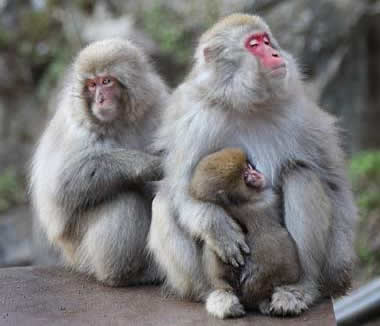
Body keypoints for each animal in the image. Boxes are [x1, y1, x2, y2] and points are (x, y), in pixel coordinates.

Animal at [31, 39, 168, 286]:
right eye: (92, 85)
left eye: (106, 81)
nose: (99, 99)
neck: (120, 121)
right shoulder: (78, 126)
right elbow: (62, 183)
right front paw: (148, 165)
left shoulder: (157, 104)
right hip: (81, 255)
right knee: (123, 199)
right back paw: (123, 275)